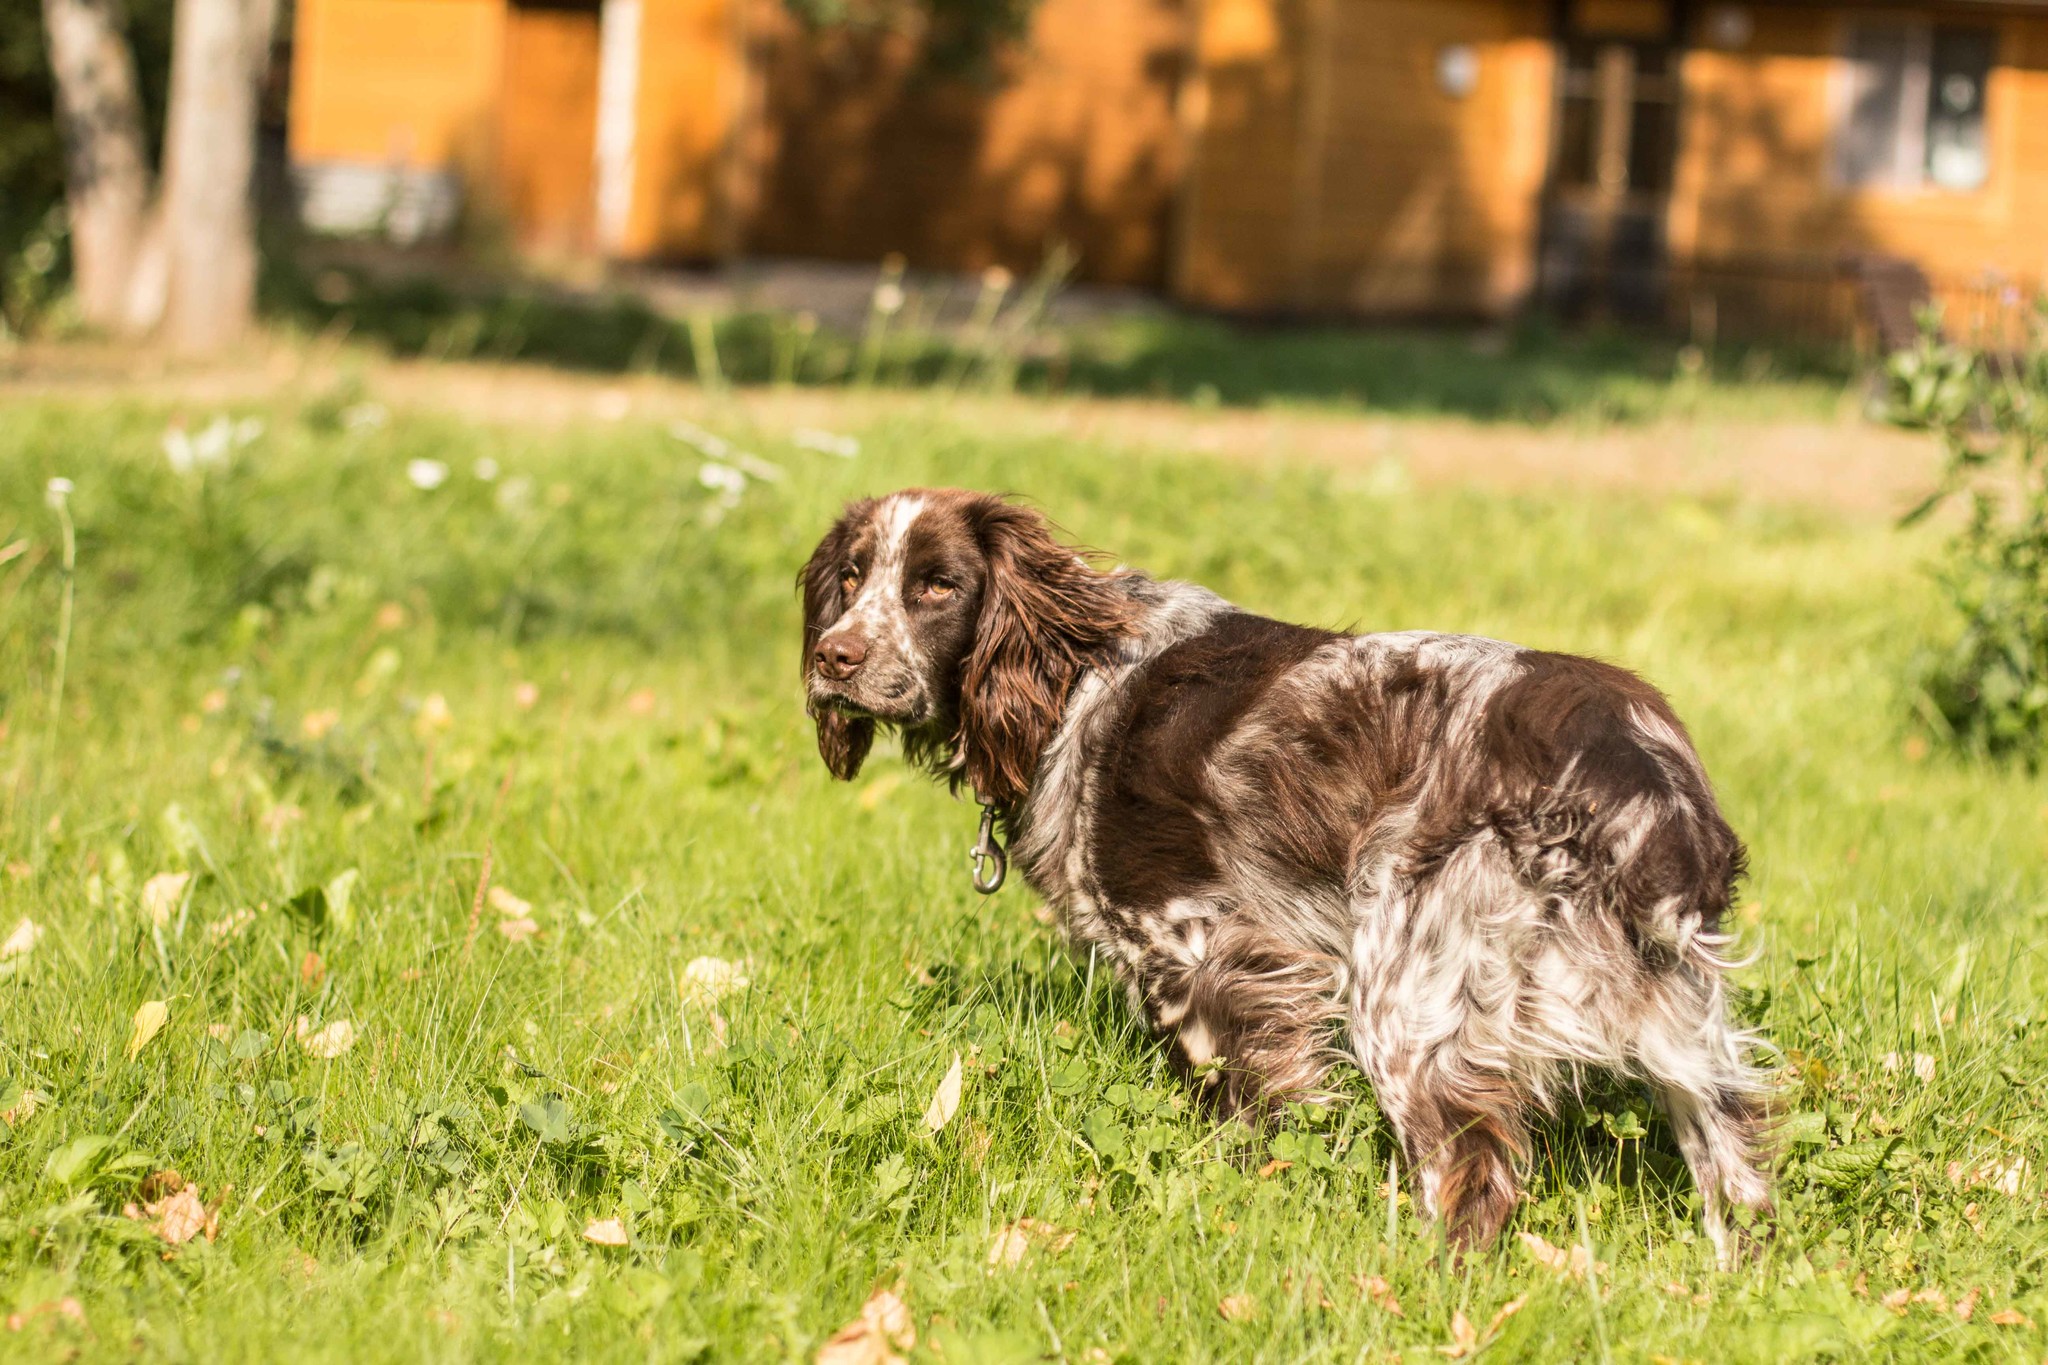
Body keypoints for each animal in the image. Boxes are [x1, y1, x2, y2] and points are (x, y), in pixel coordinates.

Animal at [798, 489, 1777, 1260]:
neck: (1073, 678)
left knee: (1472, 1174)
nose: (833, 658)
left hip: (1406, 995)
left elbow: (1247, 1109)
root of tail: (1631, 761)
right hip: (1677, 1022)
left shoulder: (1201, 946)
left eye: (938, 584)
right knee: (1739, 1168)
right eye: (850, 577)